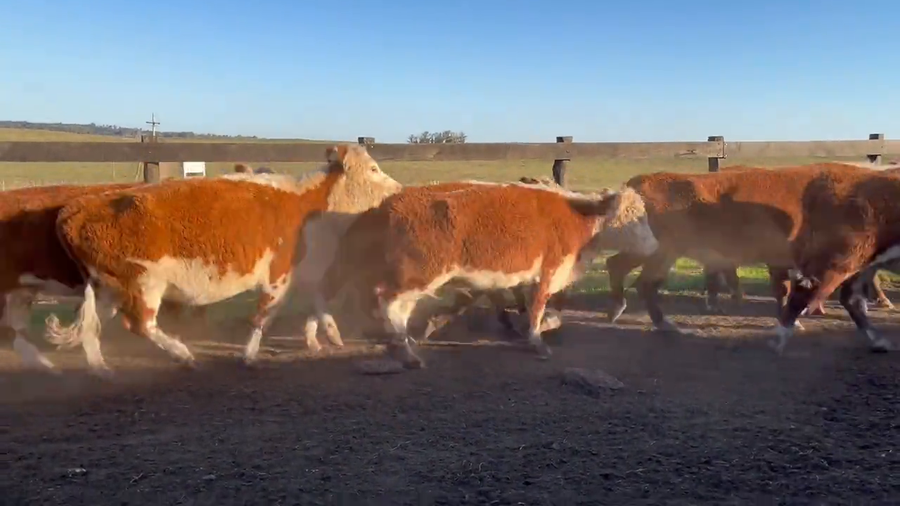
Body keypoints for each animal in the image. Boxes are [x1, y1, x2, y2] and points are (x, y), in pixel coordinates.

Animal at [43, 144, 402, 377]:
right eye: (373, 169)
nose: (399, 189)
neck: (307, 204)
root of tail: (76, 209)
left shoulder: (304, 270)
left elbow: (319, 303)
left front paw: (325, 335)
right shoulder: (278, 275)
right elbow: (264, 316)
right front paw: (249, 355)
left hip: (108, 288)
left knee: (92, 326)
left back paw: (100, 368)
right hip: (143, 283)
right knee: (141, 325)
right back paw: (184, 355)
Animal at [319, 180, 659, 369]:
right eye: (632, 217)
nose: (654, 246)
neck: (575, 215)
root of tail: (385, 208)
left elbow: (528, 308)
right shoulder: (547, 272)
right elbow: (537, 309)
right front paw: (536, 341)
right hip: (420, 274)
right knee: (387, 303)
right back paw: (405, 351)